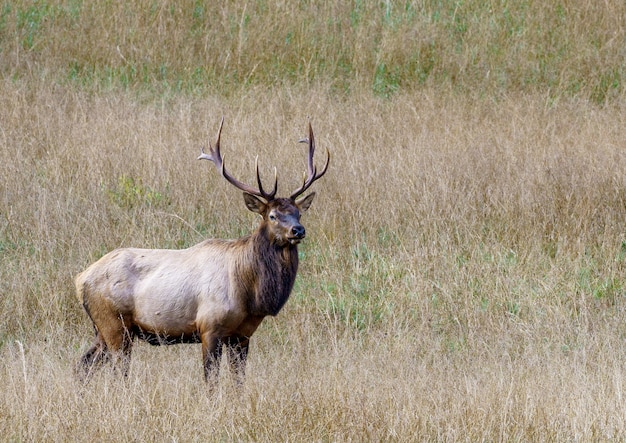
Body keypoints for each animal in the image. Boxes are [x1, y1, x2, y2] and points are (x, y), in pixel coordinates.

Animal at [73, 119, 330, 384]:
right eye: (272, 215)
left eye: (298, 213)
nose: (298, 230)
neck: (249, 292)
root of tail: (80, 279)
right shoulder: (209, 327)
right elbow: (211, 380)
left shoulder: (243, 335)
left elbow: (238, 382)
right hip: (114, 324)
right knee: (116, 372)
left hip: (104, 329)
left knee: (83, 364)